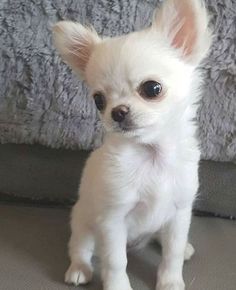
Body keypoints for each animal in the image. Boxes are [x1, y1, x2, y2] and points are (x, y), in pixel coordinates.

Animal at [54, 0, 212, 288]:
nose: (117, 112)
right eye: (99, 100)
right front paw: (118, 285)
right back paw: (79, 269)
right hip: (82, 221)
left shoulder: (180, 212)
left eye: (152, 88)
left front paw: (170, 281)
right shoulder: (112, 220)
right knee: (80, 247)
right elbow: (116, 261)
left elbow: (171, 252)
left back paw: (183, 247)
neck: (151, 155)